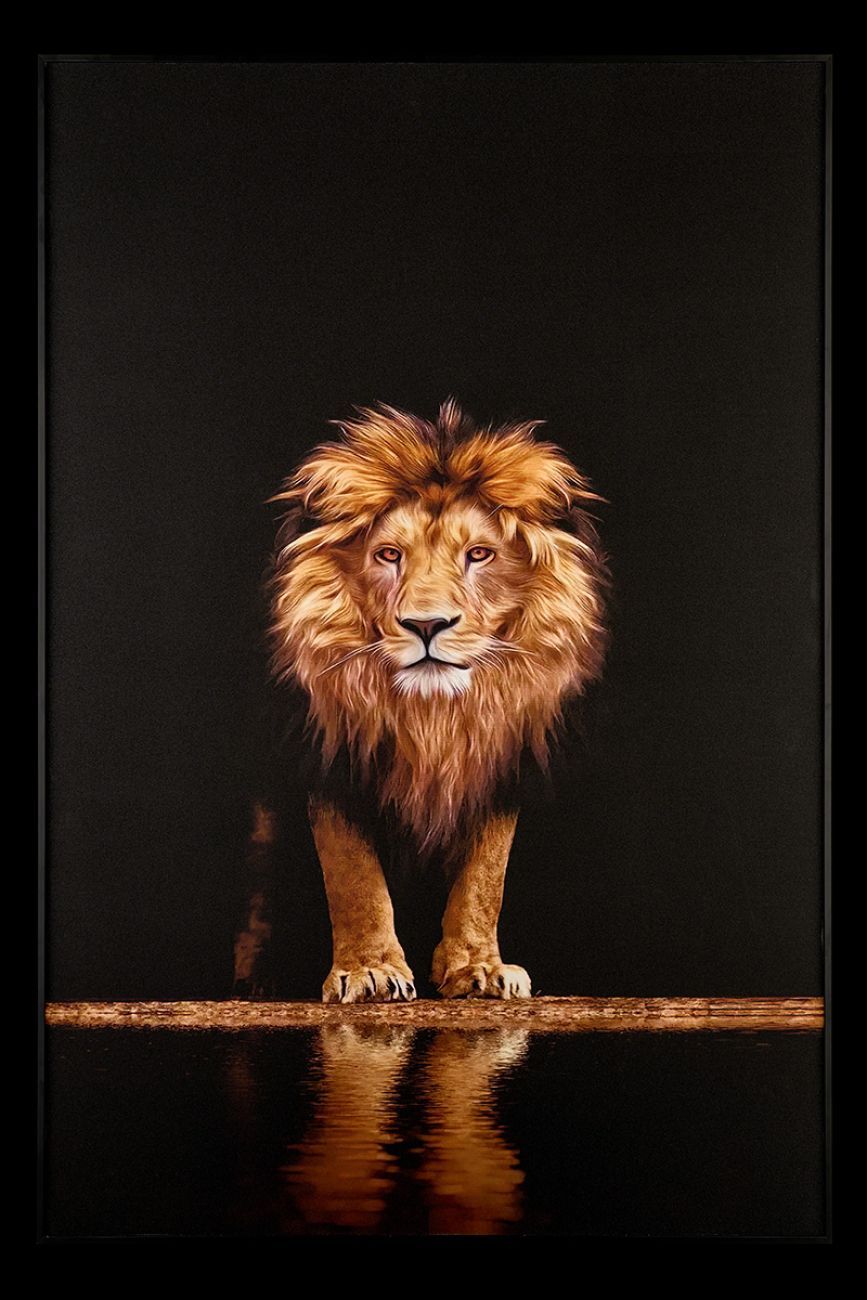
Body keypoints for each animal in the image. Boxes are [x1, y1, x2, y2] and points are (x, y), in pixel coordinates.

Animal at [262, 399, 607, 1003]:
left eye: (479, 554)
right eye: (388, 555)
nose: (427, 625)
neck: (433, 716)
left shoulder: (500, 762)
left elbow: (486, 876)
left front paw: (478, 968)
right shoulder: (331, 760)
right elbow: (351, 873)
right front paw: (370, 970)